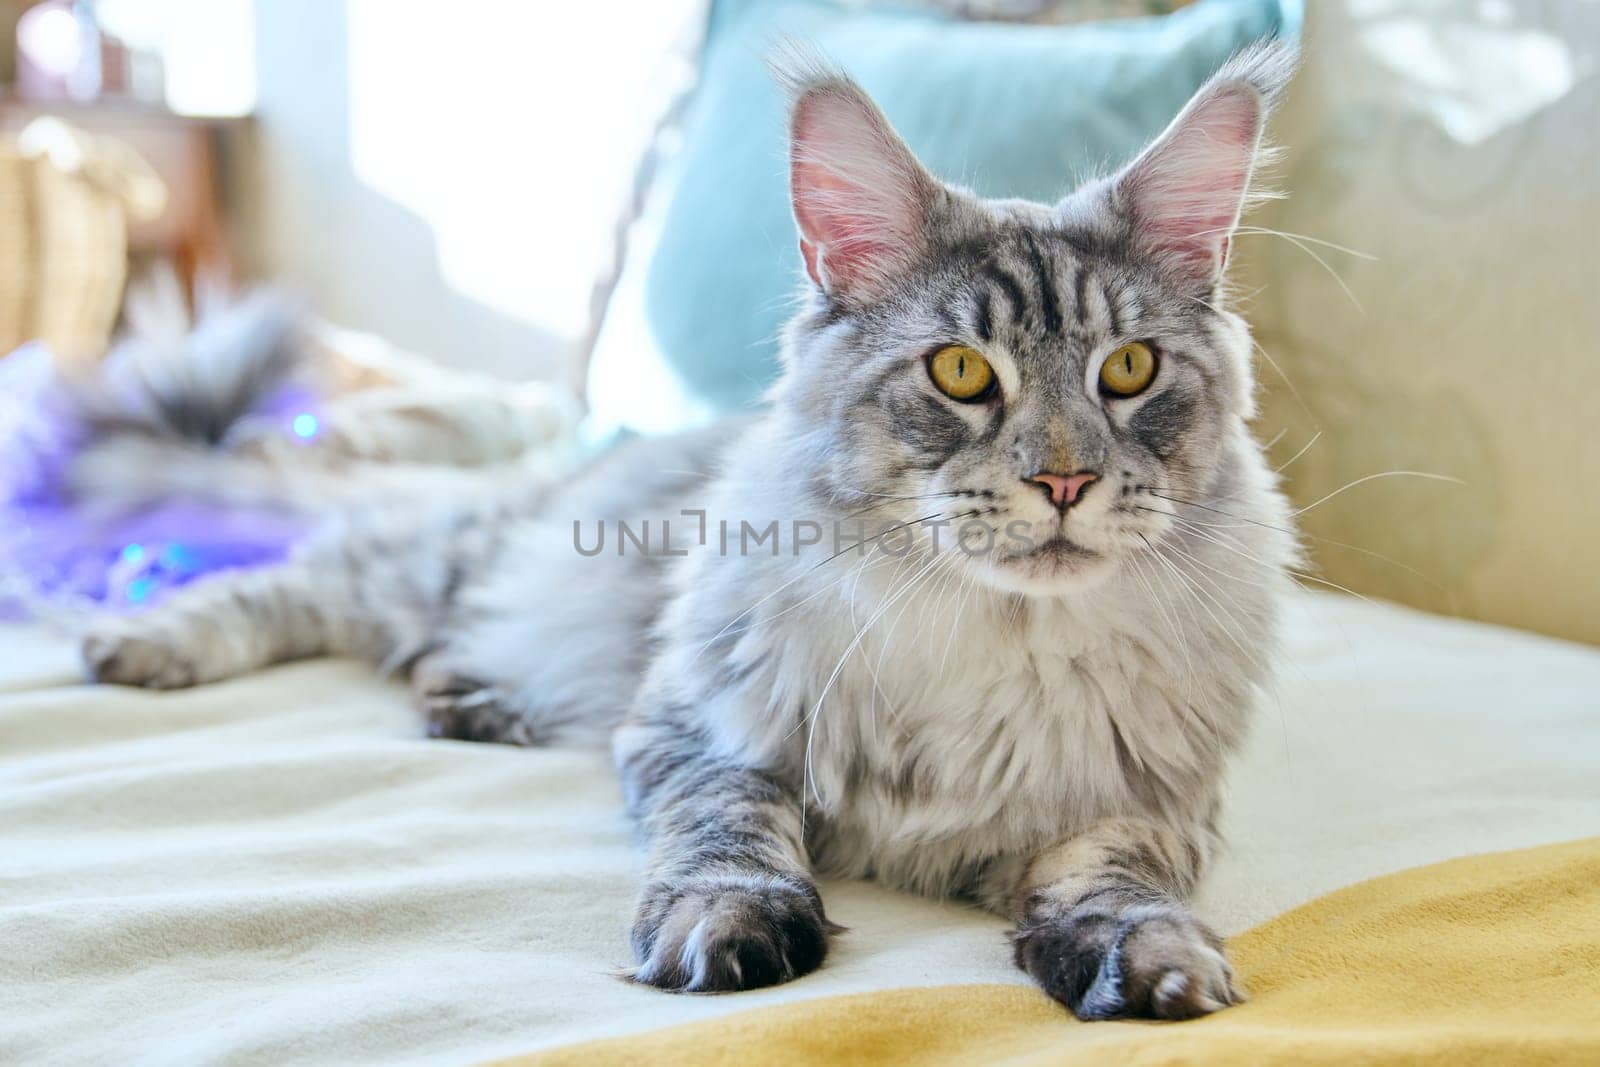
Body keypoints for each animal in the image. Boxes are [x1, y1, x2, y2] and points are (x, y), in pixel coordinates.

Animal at [84, 41, 1299, 1023]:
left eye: (1128, 369)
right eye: (960, 373)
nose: (1063, 479)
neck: (993, 643)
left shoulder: (1152, 803)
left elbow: (1111, 876)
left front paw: (1146, 957)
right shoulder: (696, 730)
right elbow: (731, 829)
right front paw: (729, 928)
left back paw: (473, 704)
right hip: (456, 563)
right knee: (312, 572)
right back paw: (144, 642)